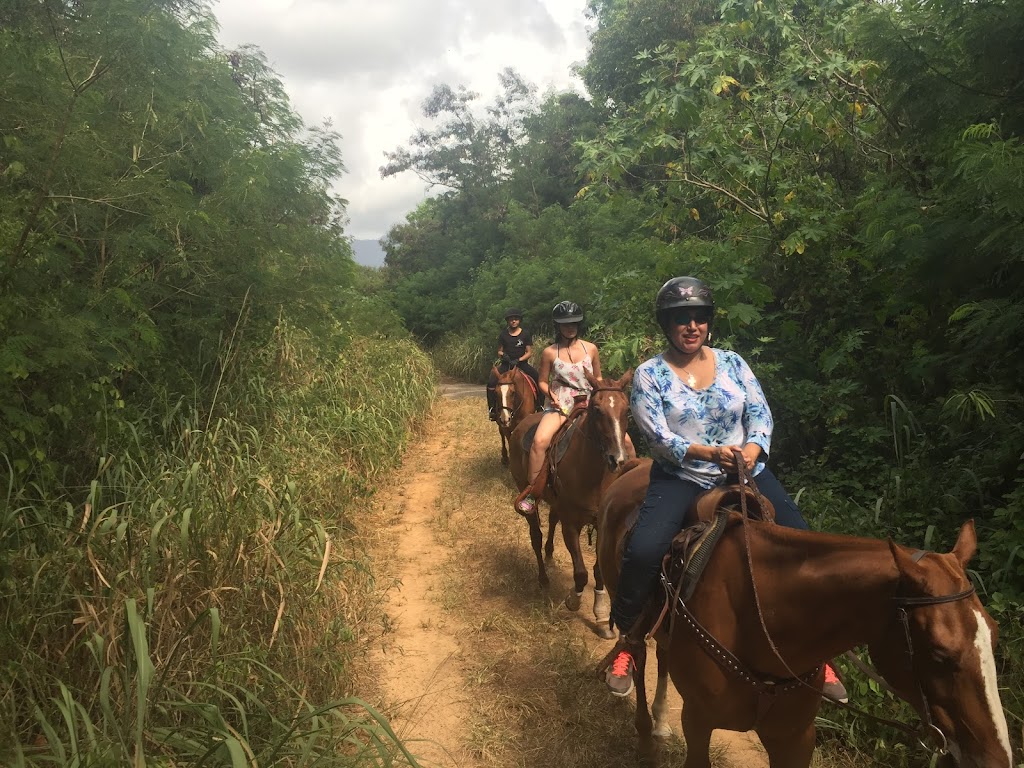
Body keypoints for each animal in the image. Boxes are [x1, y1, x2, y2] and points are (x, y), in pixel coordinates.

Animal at [509, 370, 634, 626]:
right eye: (596, 409)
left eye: (626, 409)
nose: (618, 459)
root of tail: (520, 426)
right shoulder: (571, 525)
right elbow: (581, 573)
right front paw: (574, 600)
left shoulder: (602, 524)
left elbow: (598, 570)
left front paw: (601, 610)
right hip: (526, 491)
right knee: (535, 535)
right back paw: (543, 578)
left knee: (552, 520)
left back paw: (549, 555)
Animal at [598, 460, 1011, 768]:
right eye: (939, 654)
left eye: (994, 635)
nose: (997, 758)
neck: (760, 618)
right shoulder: (699, 722)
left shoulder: (796, 737)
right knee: (637, 649)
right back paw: (644, 731)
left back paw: (660, 724)